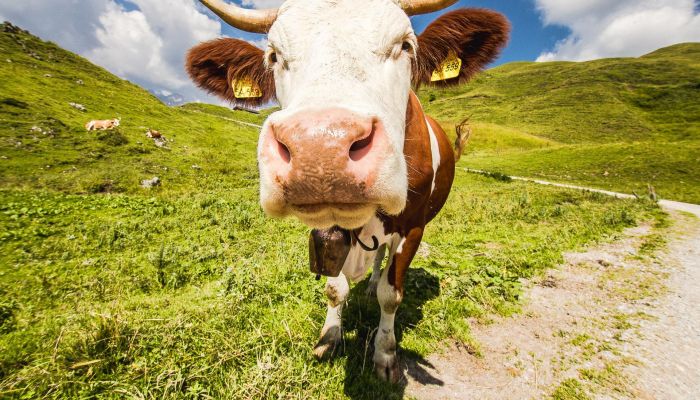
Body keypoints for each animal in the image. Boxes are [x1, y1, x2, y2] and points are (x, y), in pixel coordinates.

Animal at [187, 0, 509, 382]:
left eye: (405, 46)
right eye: (274, 56)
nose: (320, 147)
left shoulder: (414, 226)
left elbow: (391, 295)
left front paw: (385, 354)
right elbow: (333, 287)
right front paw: (329, 337)